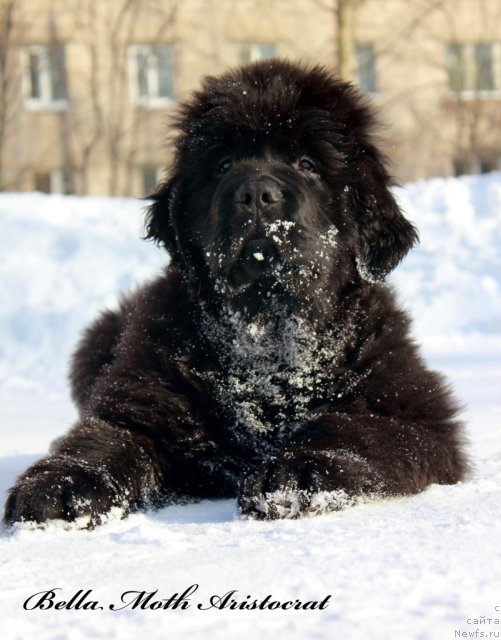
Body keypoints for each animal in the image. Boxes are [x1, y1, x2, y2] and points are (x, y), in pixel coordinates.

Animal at [2, 61, 468, 528]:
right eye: (223, 165)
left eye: (307, 163)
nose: (257, 194)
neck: (266, 342)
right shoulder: (143, 400)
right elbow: (105, 440)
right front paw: (61, 485)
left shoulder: (414, 412)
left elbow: (352, 430)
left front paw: (294, 472)